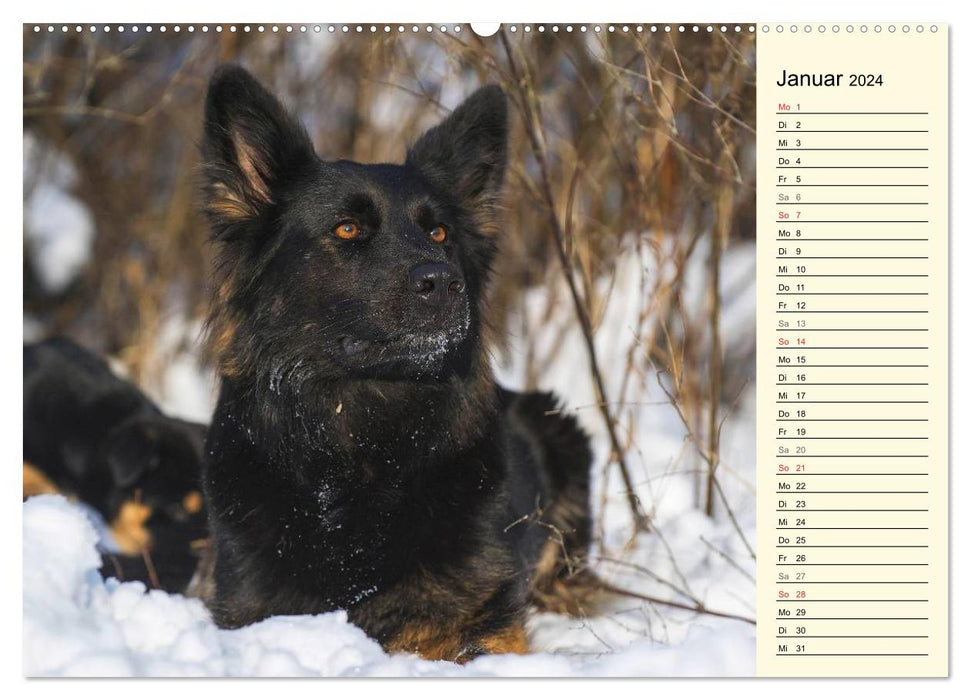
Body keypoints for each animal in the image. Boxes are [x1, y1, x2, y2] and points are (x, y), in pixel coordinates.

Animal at [197, 67, 592, 660]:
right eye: (347, 229)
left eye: (439, 233)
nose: (445, 284)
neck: (361, 436)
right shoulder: (251, 608)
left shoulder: (482, 618)